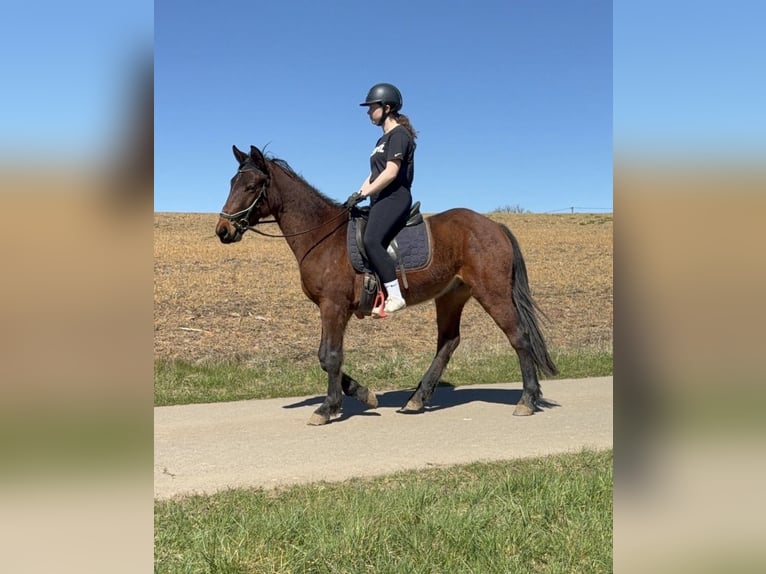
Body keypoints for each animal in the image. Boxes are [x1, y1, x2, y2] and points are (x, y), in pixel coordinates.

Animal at [216, 145, 558, 425]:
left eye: (251, 186)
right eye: (232, 183)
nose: (223, 230)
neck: (321, 235)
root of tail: (495, 225)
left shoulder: (333, 305)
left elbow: (329, 356)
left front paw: (328, 408)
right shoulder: (334, 308)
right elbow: (328, 357)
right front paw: (362, 395)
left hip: (492, 292)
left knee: (519, 337)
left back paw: (527, 400)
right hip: (450, 296)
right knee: (448, 342)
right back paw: (417, 400)